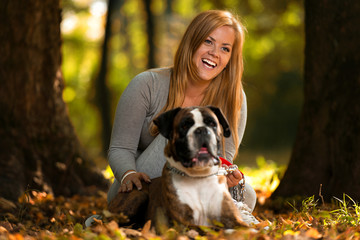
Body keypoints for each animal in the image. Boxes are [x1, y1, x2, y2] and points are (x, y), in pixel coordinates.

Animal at [108, 106, 246, 231]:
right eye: (184, 126)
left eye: (212, 123)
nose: (201, 130)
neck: (199, 176)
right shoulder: (183, 224)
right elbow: (211, 229)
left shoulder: (233, 219)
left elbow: (247, 228)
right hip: (139, 195)